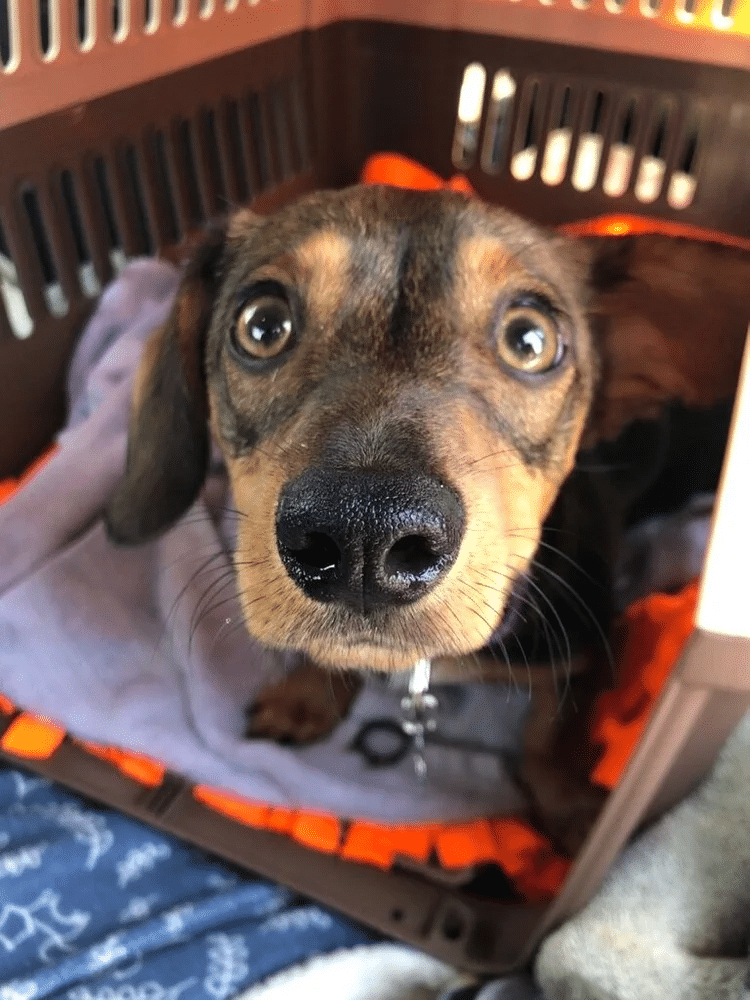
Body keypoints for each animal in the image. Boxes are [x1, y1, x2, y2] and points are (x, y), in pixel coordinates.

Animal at [104, 185, 750, 853]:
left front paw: (571, 809)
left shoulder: (592, 645)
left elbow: (551, 734)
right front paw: (307, 696)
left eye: (530, 340)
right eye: (261, 325)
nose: (363, 530)